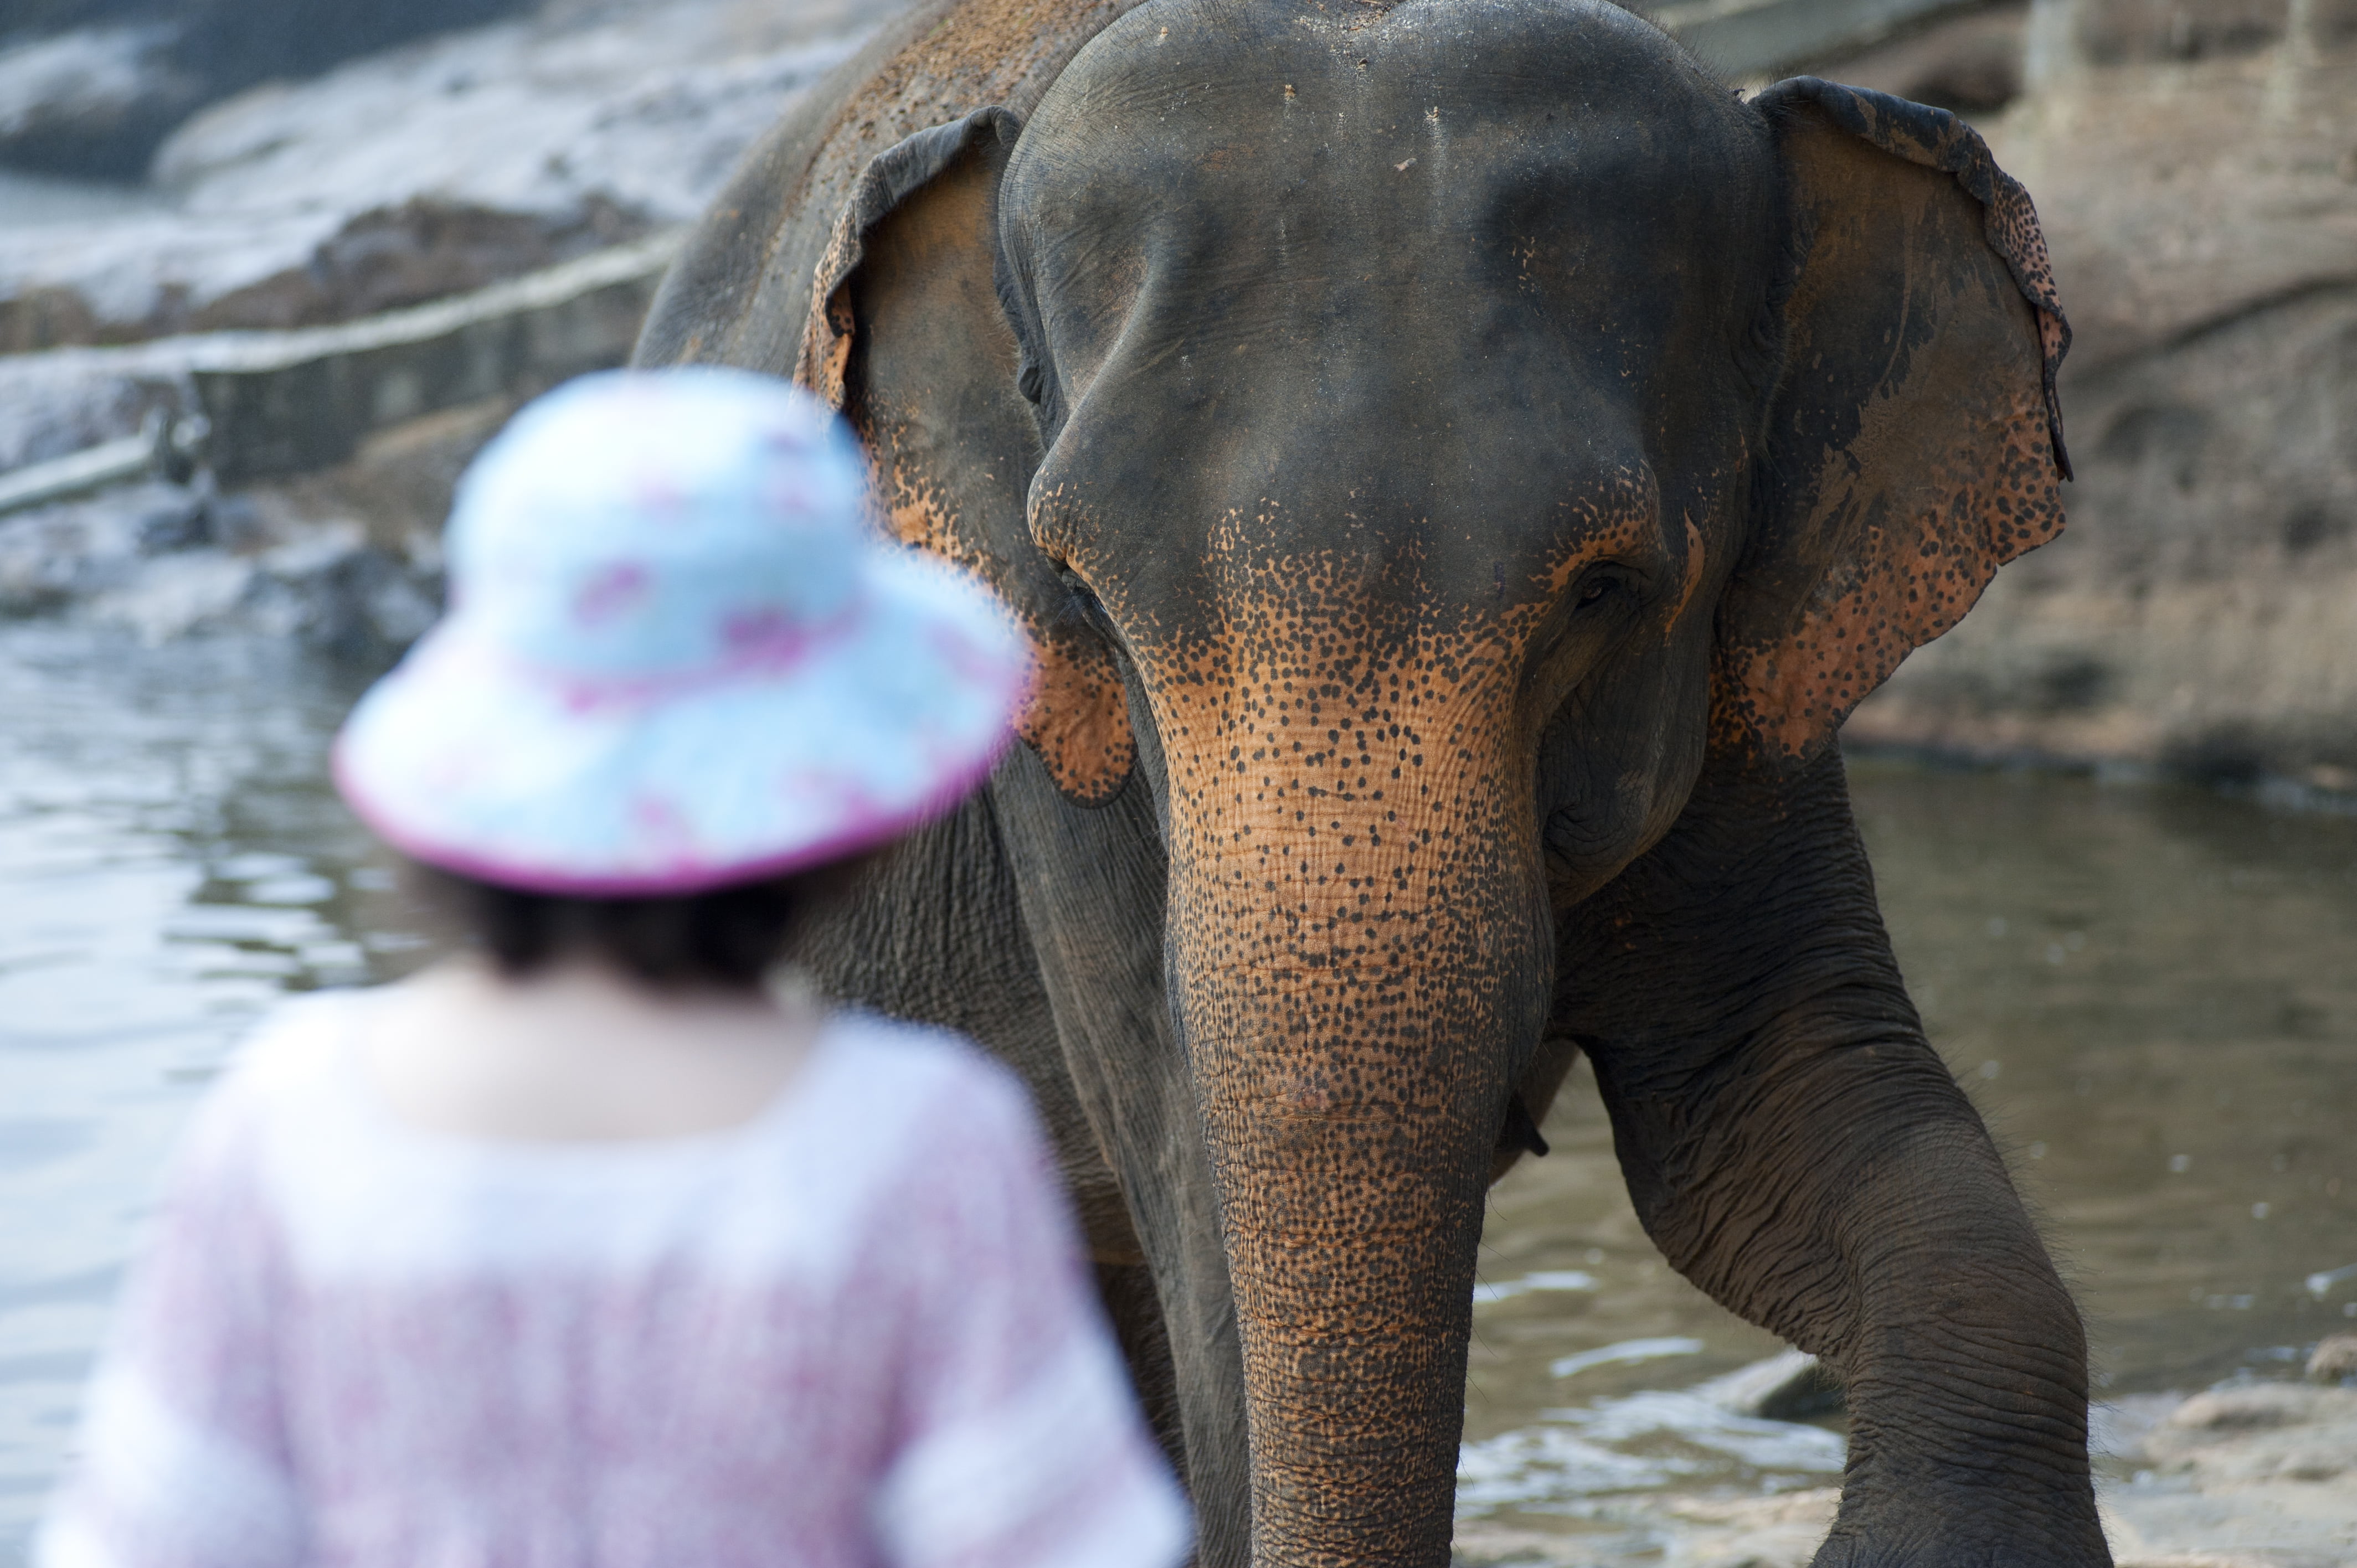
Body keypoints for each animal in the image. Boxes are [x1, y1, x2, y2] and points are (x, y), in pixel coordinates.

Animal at [633, 0, 2098, 1563]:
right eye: (1084, 596)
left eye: (1603, 590)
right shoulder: (1059, 784)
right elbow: (1198, 1226)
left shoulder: (1755, 698)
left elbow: (1767, 1100)